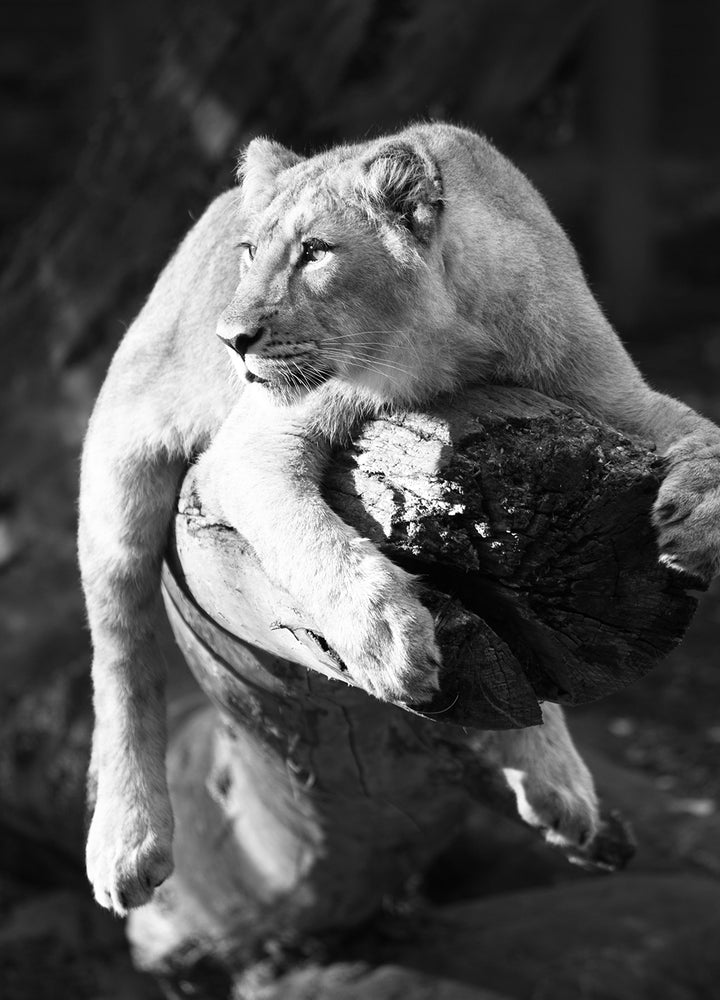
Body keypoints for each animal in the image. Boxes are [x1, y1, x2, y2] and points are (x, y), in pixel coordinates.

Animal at [79, 122, 720, 915]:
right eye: (249, 252)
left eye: (315, 251)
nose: (230, 339)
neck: (461, 350)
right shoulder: (250, 444)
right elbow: (315, 541)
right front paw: (388, 637)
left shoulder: (609, 389)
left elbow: (703, 430)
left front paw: (696, 522)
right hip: (118, 470)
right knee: (121, 652)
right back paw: (127, 840)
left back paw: (556, 780)